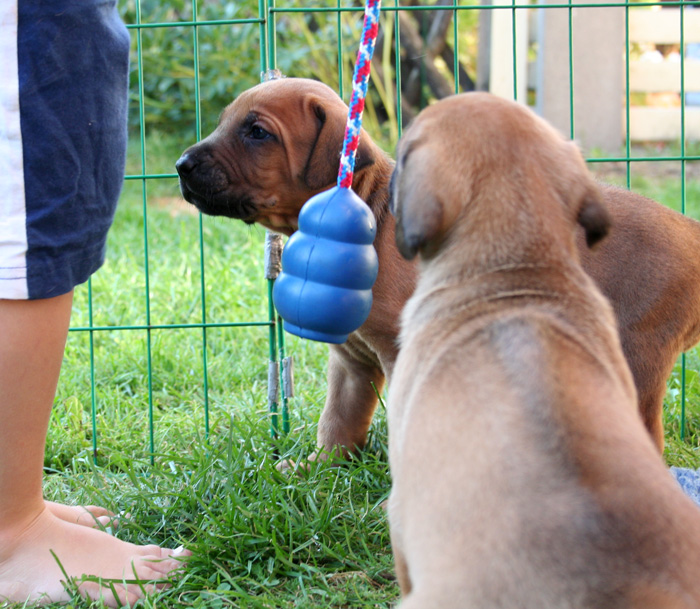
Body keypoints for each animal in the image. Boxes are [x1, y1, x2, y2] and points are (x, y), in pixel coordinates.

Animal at [176, 77, 700, 456]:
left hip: (634, 355)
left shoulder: (401, 353)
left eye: (257, 132)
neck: (371, 214)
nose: (181, 166)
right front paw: (317, 470)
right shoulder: (351, 361)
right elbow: (338, 421)